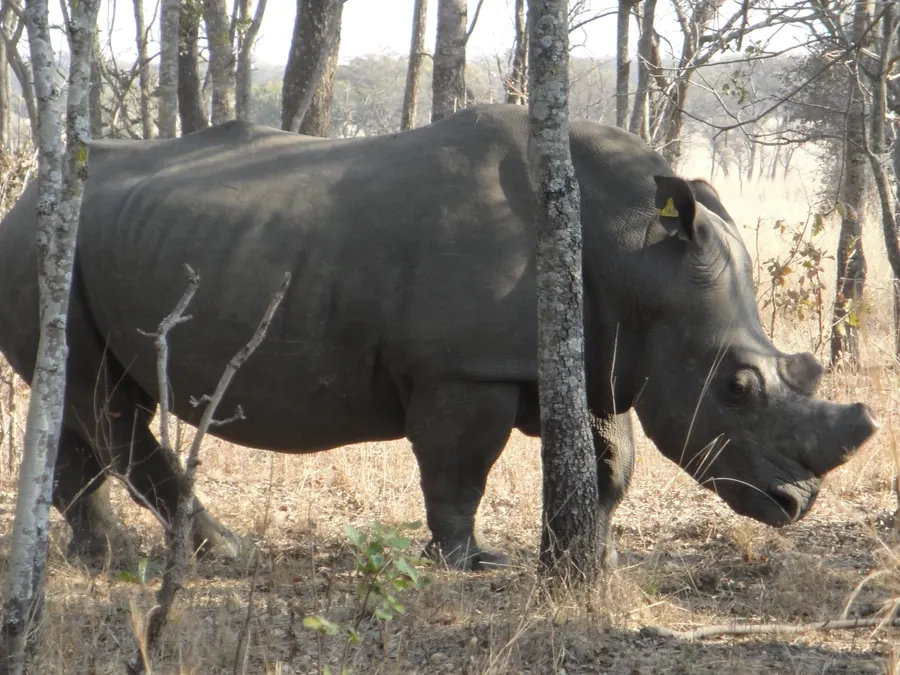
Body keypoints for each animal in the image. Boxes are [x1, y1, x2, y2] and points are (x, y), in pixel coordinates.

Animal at [0, 105, 877, 569]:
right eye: (738, 386)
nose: (796, 506)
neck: (635, 251)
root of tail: (25, 198)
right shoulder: (463, 368)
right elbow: (459, 468)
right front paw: (469, 562)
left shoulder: (598, 355)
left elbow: (612, 462)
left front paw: (588, 556)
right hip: (44, 254)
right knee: (107, 405)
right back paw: (213, 551)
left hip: (70, 253)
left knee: (85, 399)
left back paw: (95, 554)